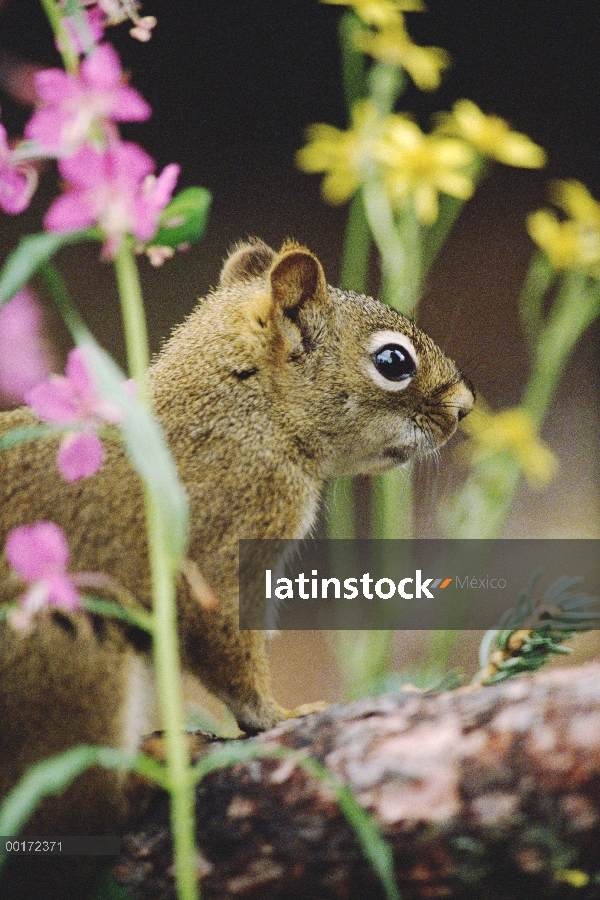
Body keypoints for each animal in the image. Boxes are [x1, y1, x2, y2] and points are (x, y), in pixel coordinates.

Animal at [0, 237, 474, 892]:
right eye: (393, 361)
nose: (466, 407)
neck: (247, 411)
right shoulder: (217, 552)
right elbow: (230, 651)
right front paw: (281, 715)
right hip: (67, 668)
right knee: (75, 812)